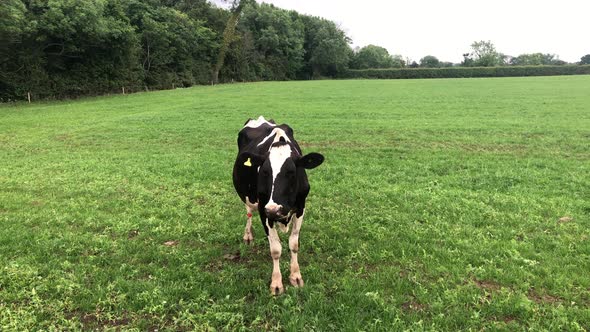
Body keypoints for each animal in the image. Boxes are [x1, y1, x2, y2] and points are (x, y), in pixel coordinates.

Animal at [232, 115, 324, 294]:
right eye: (264, 172)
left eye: (291, 172)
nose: (274, 210)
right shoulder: (264, 210)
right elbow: (275, 249)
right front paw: (276, 283)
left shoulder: (301, 207)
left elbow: (294, 244)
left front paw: (296, 276)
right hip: (247, 196)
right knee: (249, 212)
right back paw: (248, 235)